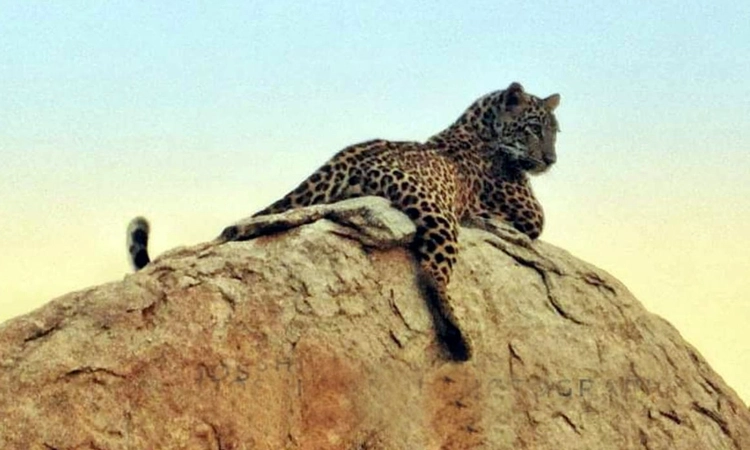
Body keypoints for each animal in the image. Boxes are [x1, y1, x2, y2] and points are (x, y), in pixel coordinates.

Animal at [127, 82, 561, 362]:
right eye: (534, 129)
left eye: (555, 132)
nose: (552, 159)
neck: (479, 125)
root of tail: (347, 154)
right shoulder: (530, 213)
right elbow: (532, 220)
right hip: (437, 214)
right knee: (432, 271)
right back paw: (458, 339)